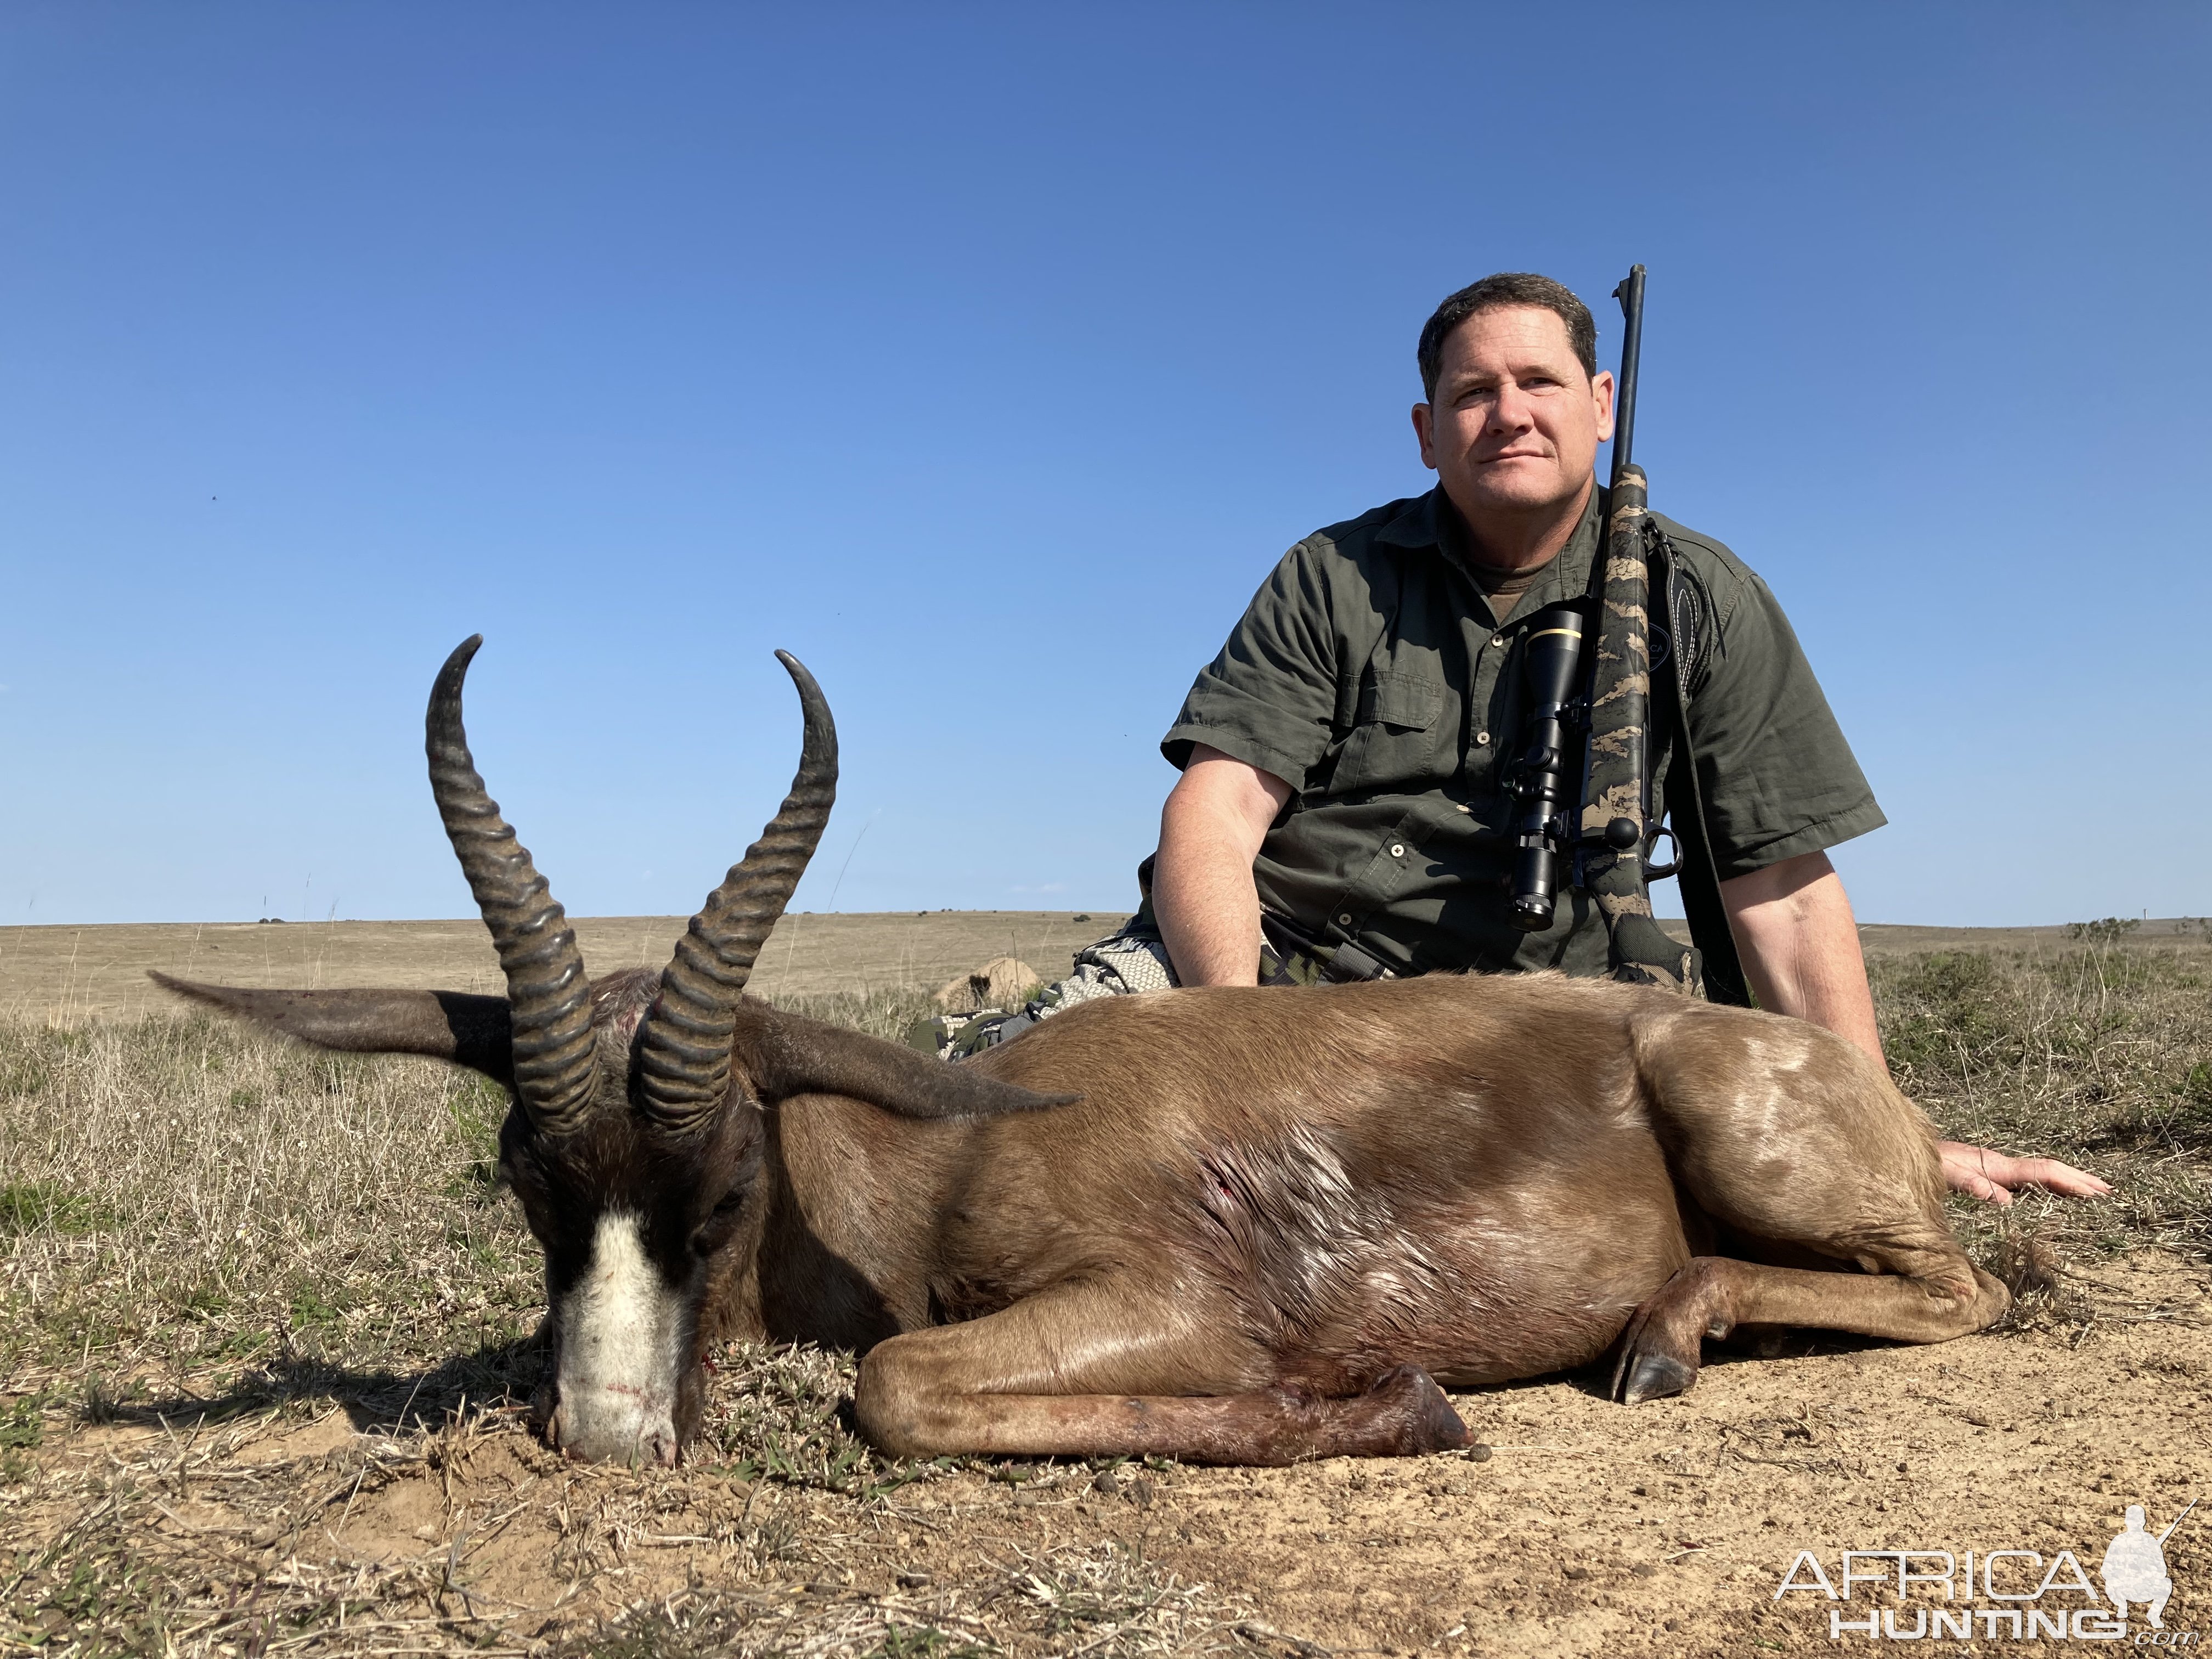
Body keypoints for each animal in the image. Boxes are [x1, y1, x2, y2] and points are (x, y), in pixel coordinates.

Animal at [160, 637, 2008, 1469]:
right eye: (526, 1183)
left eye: (729, 1179)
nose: (611, 1435)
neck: (944, 1150)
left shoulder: (1164, 1300)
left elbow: (897, 1386)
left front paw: (1392, 1398)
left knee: (1967, 1290)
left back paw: (1665, 1339)